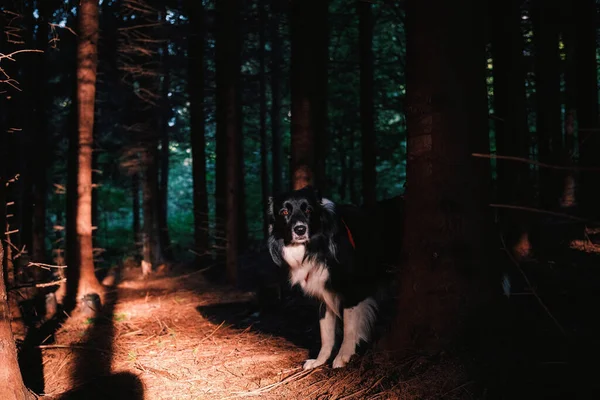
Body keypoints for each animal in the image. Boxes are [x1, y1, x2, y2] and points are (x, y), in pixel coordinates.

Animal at [266, 186, 398, 370]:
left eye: (308, 210)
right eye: (284, 212)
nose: (300, 230)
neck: (317, 246)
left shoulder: (353, 291)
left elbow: (349, 327)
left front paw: (343, 357)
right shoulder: (322, 295)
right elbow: (325, 332)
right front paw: (320, 361)